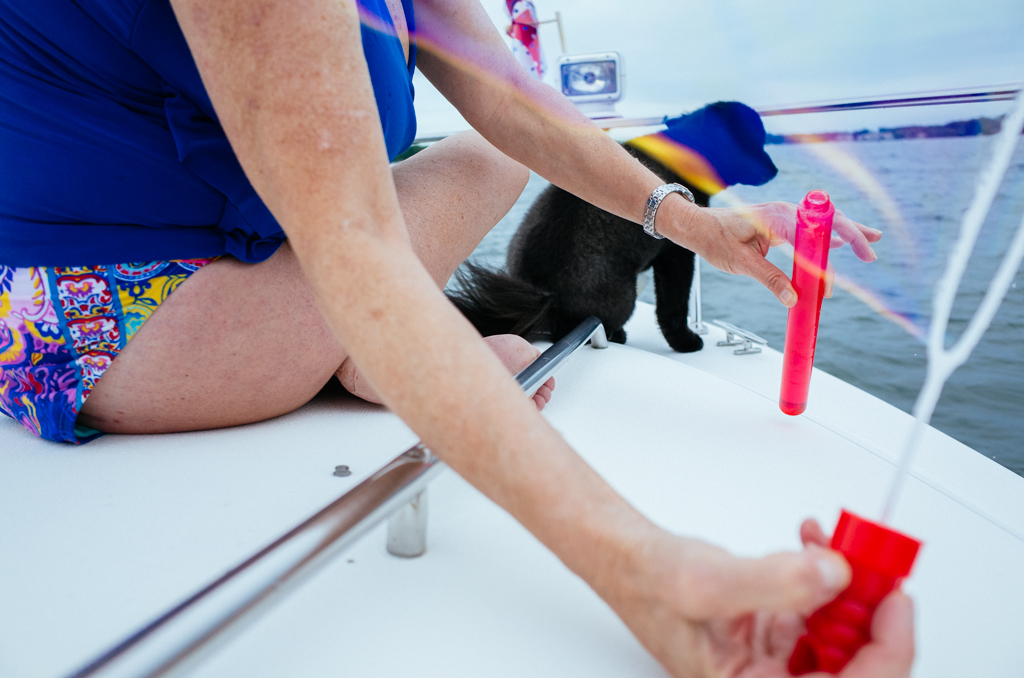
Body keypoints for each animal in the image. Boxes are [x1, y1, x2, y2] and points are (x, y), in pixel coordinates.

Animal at [448, 101, 778, 351]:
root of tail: (545, 295)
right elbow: (673, 306)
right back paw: (617, 335)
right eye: (755, 143)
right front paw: (685, 341)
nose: (774, 168)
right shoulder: (677, 254)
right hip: (624, 297)